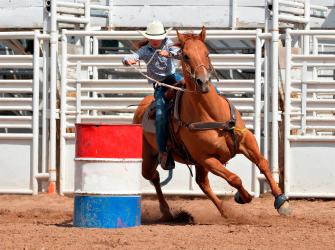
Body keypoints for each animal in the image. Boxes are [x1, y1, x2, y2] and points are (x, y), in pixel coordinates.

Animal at [134, 26, 292, 220]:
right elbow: (234, 178)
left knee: (201, 182)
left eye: (207, 53)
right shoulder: (207, 158)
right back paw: (167, 211)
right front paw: (243, 196)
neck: (212, 114)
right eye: (185, 55)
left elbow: (262, 163)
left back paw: (223, 211)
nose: (202, 81)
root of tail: (141, 107)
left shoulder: (246, 140)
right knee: (154, 176)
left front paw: (281, 202)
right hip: (150, 156)